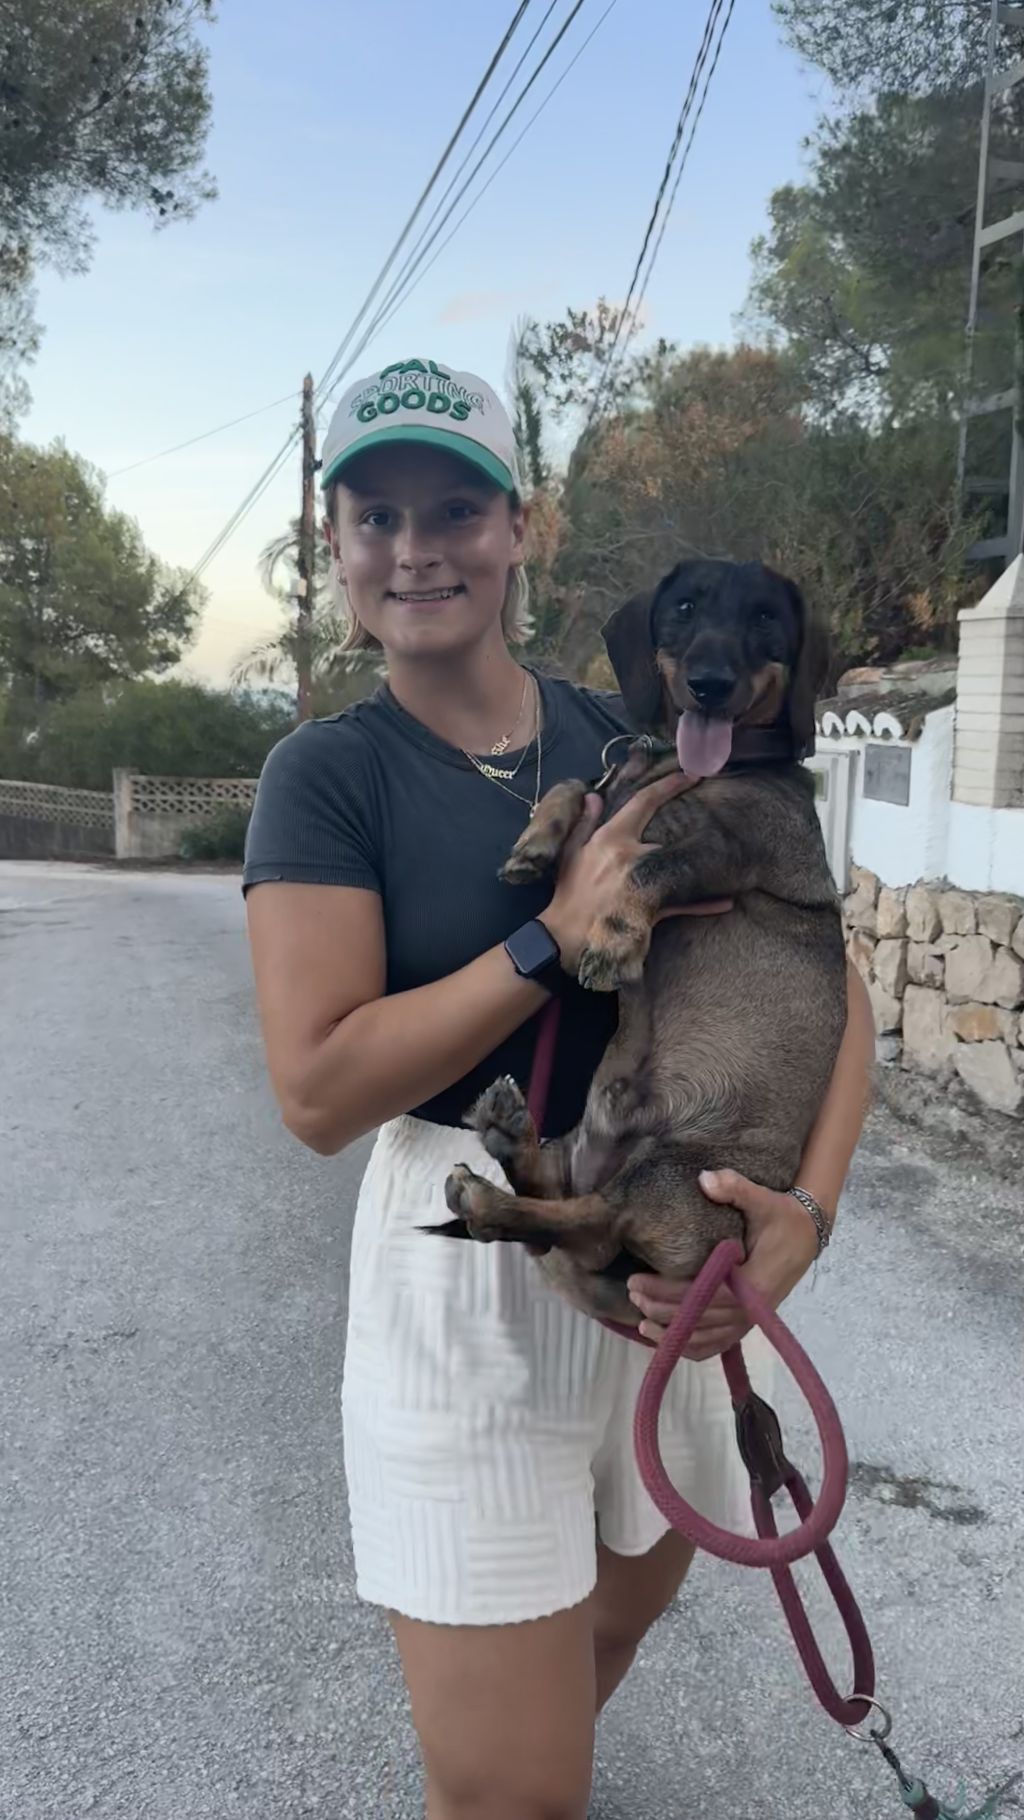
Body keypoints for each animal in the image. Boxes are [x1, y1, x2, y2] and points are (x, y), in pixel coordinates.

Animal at [432, 558, 848, 1327]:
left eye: (766, 618)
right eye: (684, 607)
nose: (711, 683)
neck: (703, 764)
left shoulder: (725, 852)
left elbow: (647, 868)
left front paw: (615, 940)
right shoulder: (611, 795)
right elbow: (575, 783)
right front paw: (534, 846)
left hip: (670, 1176)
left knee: (588, 1223)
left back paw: (488, 1195)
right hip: (586, 1147)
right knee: (564, 1201)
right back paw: (508, 1137)